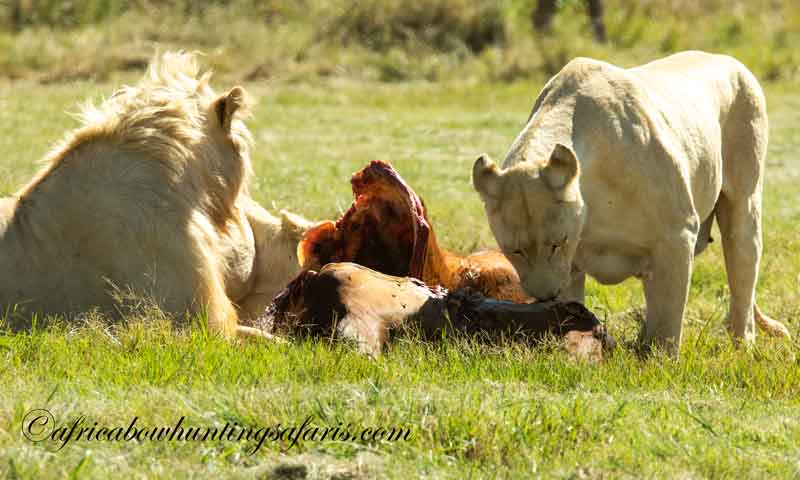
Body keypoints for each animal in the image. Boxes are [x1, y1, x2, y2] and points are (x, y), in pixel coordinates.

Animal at [472, 51, 791, 354]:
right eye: (513, 251)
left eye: (557, 244)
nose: (545, 295)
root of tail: (729, 60)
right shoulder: (570, 269)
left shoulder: (676, 236)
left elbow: (668, 321)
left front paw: (660, 362)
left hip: (744, 204)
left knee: (742, 276)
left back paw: (742, 346)